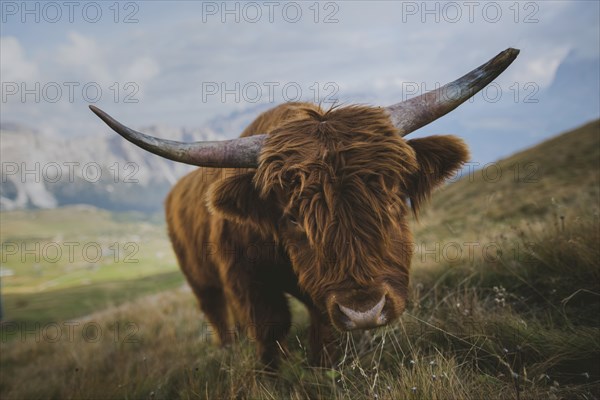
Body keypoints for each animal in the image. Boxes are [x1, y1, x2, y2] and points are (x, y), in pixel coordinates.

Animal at [91, 48, 516, 368]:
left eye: (394, 198)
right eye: (293, 217)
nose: (364, 311)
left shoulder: (322, 297)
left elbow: (323, 331)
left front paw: (324, 369)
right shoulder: (247, 280)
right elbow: (269, 329)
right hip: (201, 281)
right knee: (217, 316)